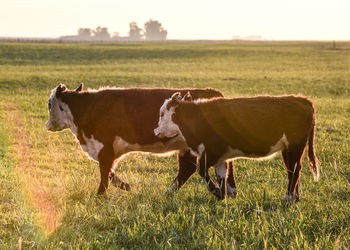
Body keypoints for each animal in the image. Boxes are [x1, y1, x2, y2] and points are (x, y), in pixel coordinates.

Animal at [46, 84, 223, 195]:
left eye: (49, 104)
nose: (47, 125)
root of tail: (214, 93)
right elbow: (109, 171)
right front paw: (125, 186)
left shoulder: (104, 147)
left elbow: (104, 172)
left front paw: (100, 195)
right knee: (187, 169)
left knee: (191, 169)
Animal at [153, 92, 320, 201]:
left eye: (162, 114)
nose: (156, 132)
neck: (198, 119)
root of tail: (302, 99)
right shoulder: (220, 157)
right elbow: (222, 175)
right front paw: (222, 196)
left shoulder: (212, 151)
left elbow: (201, 170)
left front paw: (216, 192)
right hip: (288, 148)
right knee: (293, 169)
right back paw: (294, 198)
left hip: (295, 146)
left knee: (294, 170)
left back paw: (288, 197)